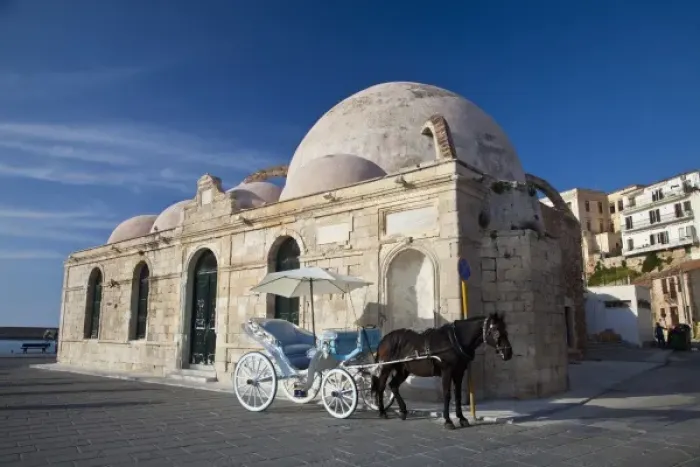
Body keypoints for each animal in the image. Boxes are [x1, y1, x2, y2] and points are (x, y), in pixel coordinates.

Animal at [370, 313, 513, 429]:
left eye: (505, 329)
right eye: (495, 330)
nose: (508, 353)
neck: (455, 340)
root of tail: (384, 339)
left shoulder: (459, 372)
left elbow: (458, 395)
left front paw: (462, 418)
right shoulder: (447, 371)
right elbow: (447, 394)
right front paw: (448, 421)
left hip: (403, 370)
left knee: (393, 385)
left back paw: (403, 411)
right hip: (386, 367)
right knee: (381, 386)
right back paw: (382, 412)